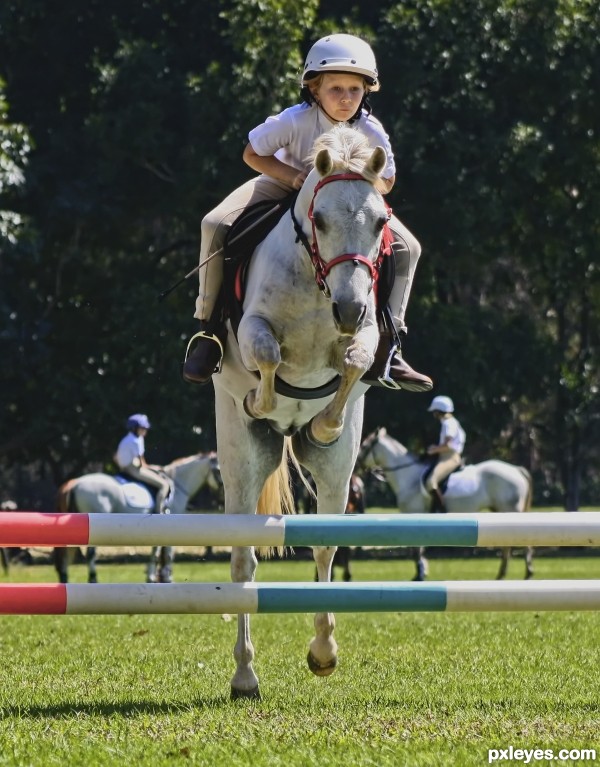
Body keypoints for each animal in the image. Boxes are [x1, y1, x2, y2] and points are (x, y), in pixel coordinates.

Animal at [52, 452, 221, 584]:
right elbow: (166, 552)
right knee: (91, 554)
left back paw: (65, 580)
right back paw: (93, 579)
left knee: (66, 555)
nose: (221, 494)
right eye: (218, 470)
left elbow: (159, 550)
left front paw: (157, 576)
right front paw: (161, 576)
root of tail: (74, 483)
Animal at [213, 126, 386, 704]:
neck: (318, 285)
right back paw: (244, 676)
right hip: (241, 463)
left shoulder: (364, 335)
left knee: (325, 547)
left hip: (336, 473)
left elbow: (355, 362)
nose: (350, 309)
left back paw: (324, 652)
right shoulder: (253, 330)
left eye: (380, 223)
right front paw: (261, 401)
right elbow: (266, 355)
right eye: (322, 219)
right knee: (243, 560)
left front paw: (326, 421)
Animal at [358, 426, 532, 584]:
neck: (408, 477)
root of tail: (516, 469)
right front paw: (423, 571)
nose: (358, 466)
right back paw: (513, 574)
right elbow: (419, 548)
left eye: (365, 445)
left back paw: (516, 574)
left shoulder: (414, 512)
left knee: (514, 544)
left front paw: (420, 574)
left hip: (509, 510)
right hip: (499, 510)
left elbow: (416, 549)